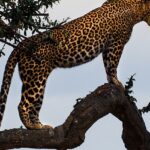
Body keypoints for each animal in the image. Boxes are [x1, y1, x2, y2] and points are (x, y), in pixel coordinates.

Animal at [0, 0, 150, 129]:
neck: (136, 8)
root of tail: (23, 43)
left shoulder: (108, 47)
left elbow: (107, 64)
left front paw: (111, 81)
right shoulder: (116, 43)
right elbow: (112, 64)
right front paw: (116, 82)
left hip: (36, 80)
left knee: (35, 105)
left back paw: (40, 126)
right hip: (35, 78)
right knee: (23, 104)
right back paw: (32, 126)